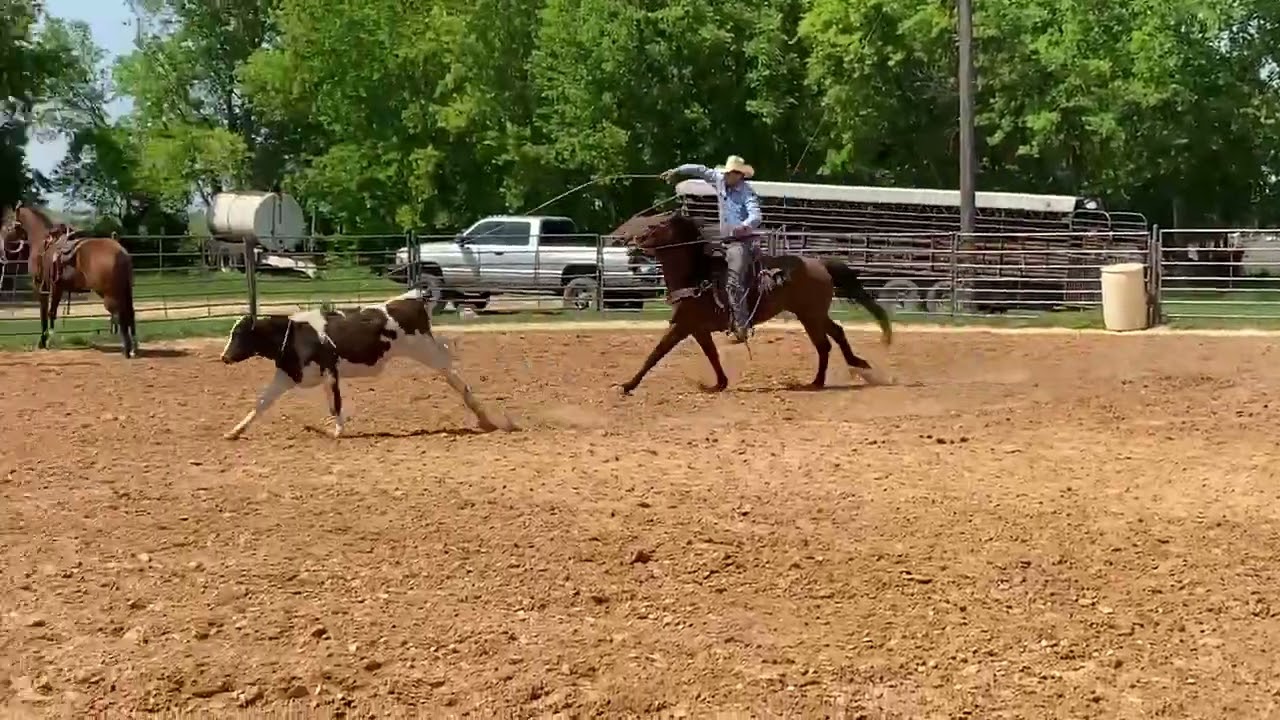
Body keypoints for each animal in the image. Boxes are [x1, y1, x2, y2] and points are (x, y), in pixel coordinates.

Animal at [0, 204, 138, 357]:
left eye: (8, 222)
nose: (2, 240)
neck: (42, 242)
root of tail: (121, 253)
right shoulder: (57, 287)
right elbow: (51, 312)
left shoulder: (41, 286)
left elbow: (45, 313)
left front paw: (44, 341)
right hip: (125, 291)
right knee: (130, 313)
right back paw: (133, 348)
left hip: (110, 294)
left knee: (120, 314)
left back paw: (127, 350)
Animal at [616, 211, 893, 394]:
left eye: (655, 225)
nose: (628, 242)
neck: (696, 275)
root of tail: (820, 263)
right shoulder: (698, 328)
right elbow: (711, 354)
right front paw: (719, 383)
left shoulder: (684, 324)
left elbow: (656, 353)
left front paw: (628, 385)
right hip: (812, 313)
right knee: (836, 333)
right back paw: (851, 366)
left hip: (810, 315)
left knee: (824, 344)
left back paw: (818, 381)